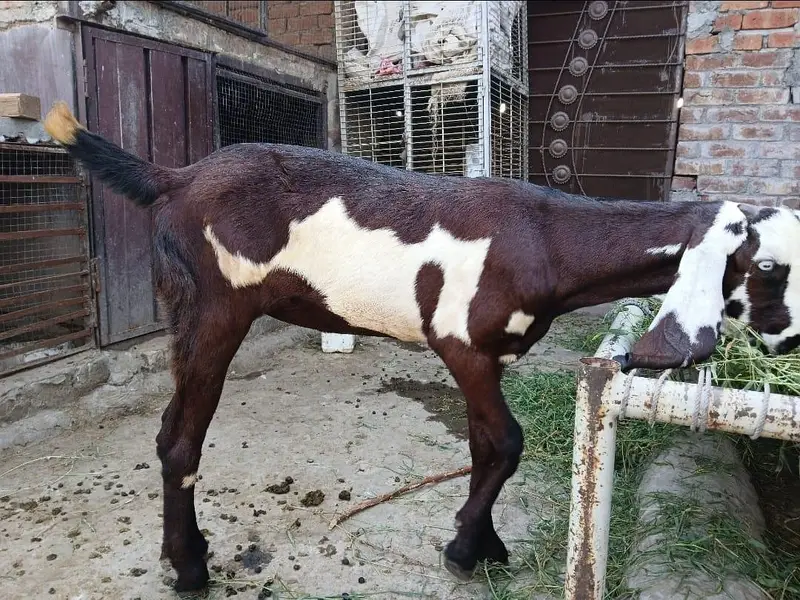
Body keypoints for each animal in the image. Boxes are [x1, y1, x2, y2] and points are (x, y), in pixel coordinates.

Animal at [43, 101, 800, 592]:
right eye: (766, 265)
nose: (788, 338)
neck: (547, 238)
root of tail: (174, 179)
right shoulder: (460, 343)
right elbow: (507, 443)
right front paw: (465, 548)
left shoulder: (487, 357)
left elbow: (483, 446)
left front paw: (485, 544)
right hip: (211, 308)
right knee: (179, 440)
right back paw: (191, 567)